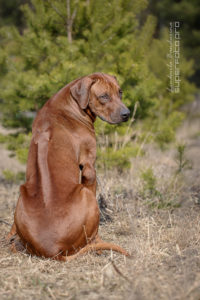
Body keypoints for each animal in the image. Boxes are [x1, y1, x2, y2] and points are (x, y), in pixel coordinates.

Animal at [7, 72, 130, 260]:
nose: (127, 114)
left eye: (120, 92)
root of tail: (54, 250)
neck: (70, 105)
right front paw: (99, 245)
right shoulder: (89, 167)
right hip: (86, 196)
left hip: (22, 195)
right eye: (104, 96)